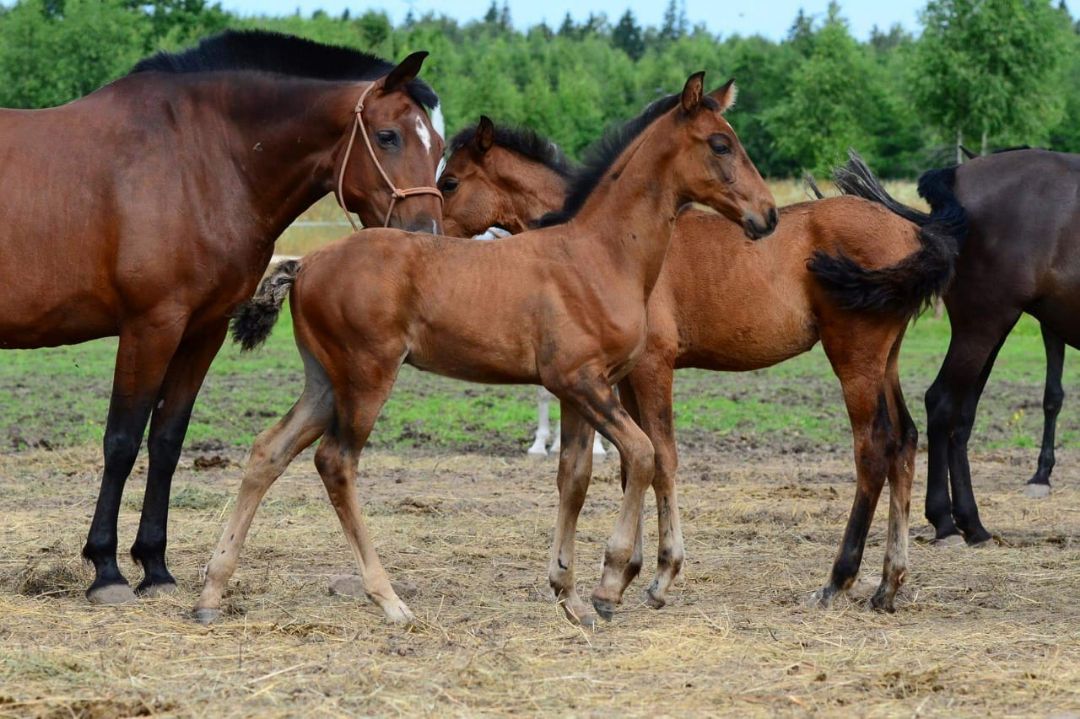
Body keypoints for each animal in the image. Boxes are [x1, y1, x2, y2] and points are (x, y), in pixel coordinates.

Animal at [0, 30, 445, 604]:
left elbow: (167, 440)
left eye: (440, 149)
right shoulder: (150, 326)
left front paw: (155, 567)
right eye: (388, 136)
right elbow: (122, 440)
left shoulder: (202, 329)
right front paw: (106, 569)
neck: (201, 158)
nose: (426, 240)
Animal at [193, 72, 778, 626]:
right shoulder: (581, 380)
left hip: (324, 381)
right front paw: (610, 583)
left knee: (268, 451)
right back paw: (389, 600)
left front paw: (568, 594)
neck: (600, 253)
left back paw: (212, 591)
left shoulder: (582, 390)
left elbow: (575, 477)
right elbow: (643, 454)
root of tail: (307, 263)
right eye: (721, 144)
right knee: (335, 462)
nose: (767, 215)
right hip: (365, 377)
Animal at [439, 120, 968, 616]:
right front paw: (627, 571)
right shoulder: (620, 378)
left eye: (449, 181)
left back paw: (837, 581)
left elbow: (661, 456)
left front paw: (659, 577)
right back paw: (888, 585)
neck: (610, 242)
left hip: (854, 356)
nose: (430, 235)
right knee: (904, 440)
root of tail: (914, 232)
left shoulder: (653, 366)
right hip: (886, 359)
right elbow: (634, 463)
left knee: (873, 449)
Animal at [840, 149, 1080, 545]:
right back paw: (946, 521)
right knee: (942, 403)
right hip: (982, 325)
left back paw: (971, 523)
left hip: (990, 329)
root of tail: (958, 176)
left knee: (961, 416)